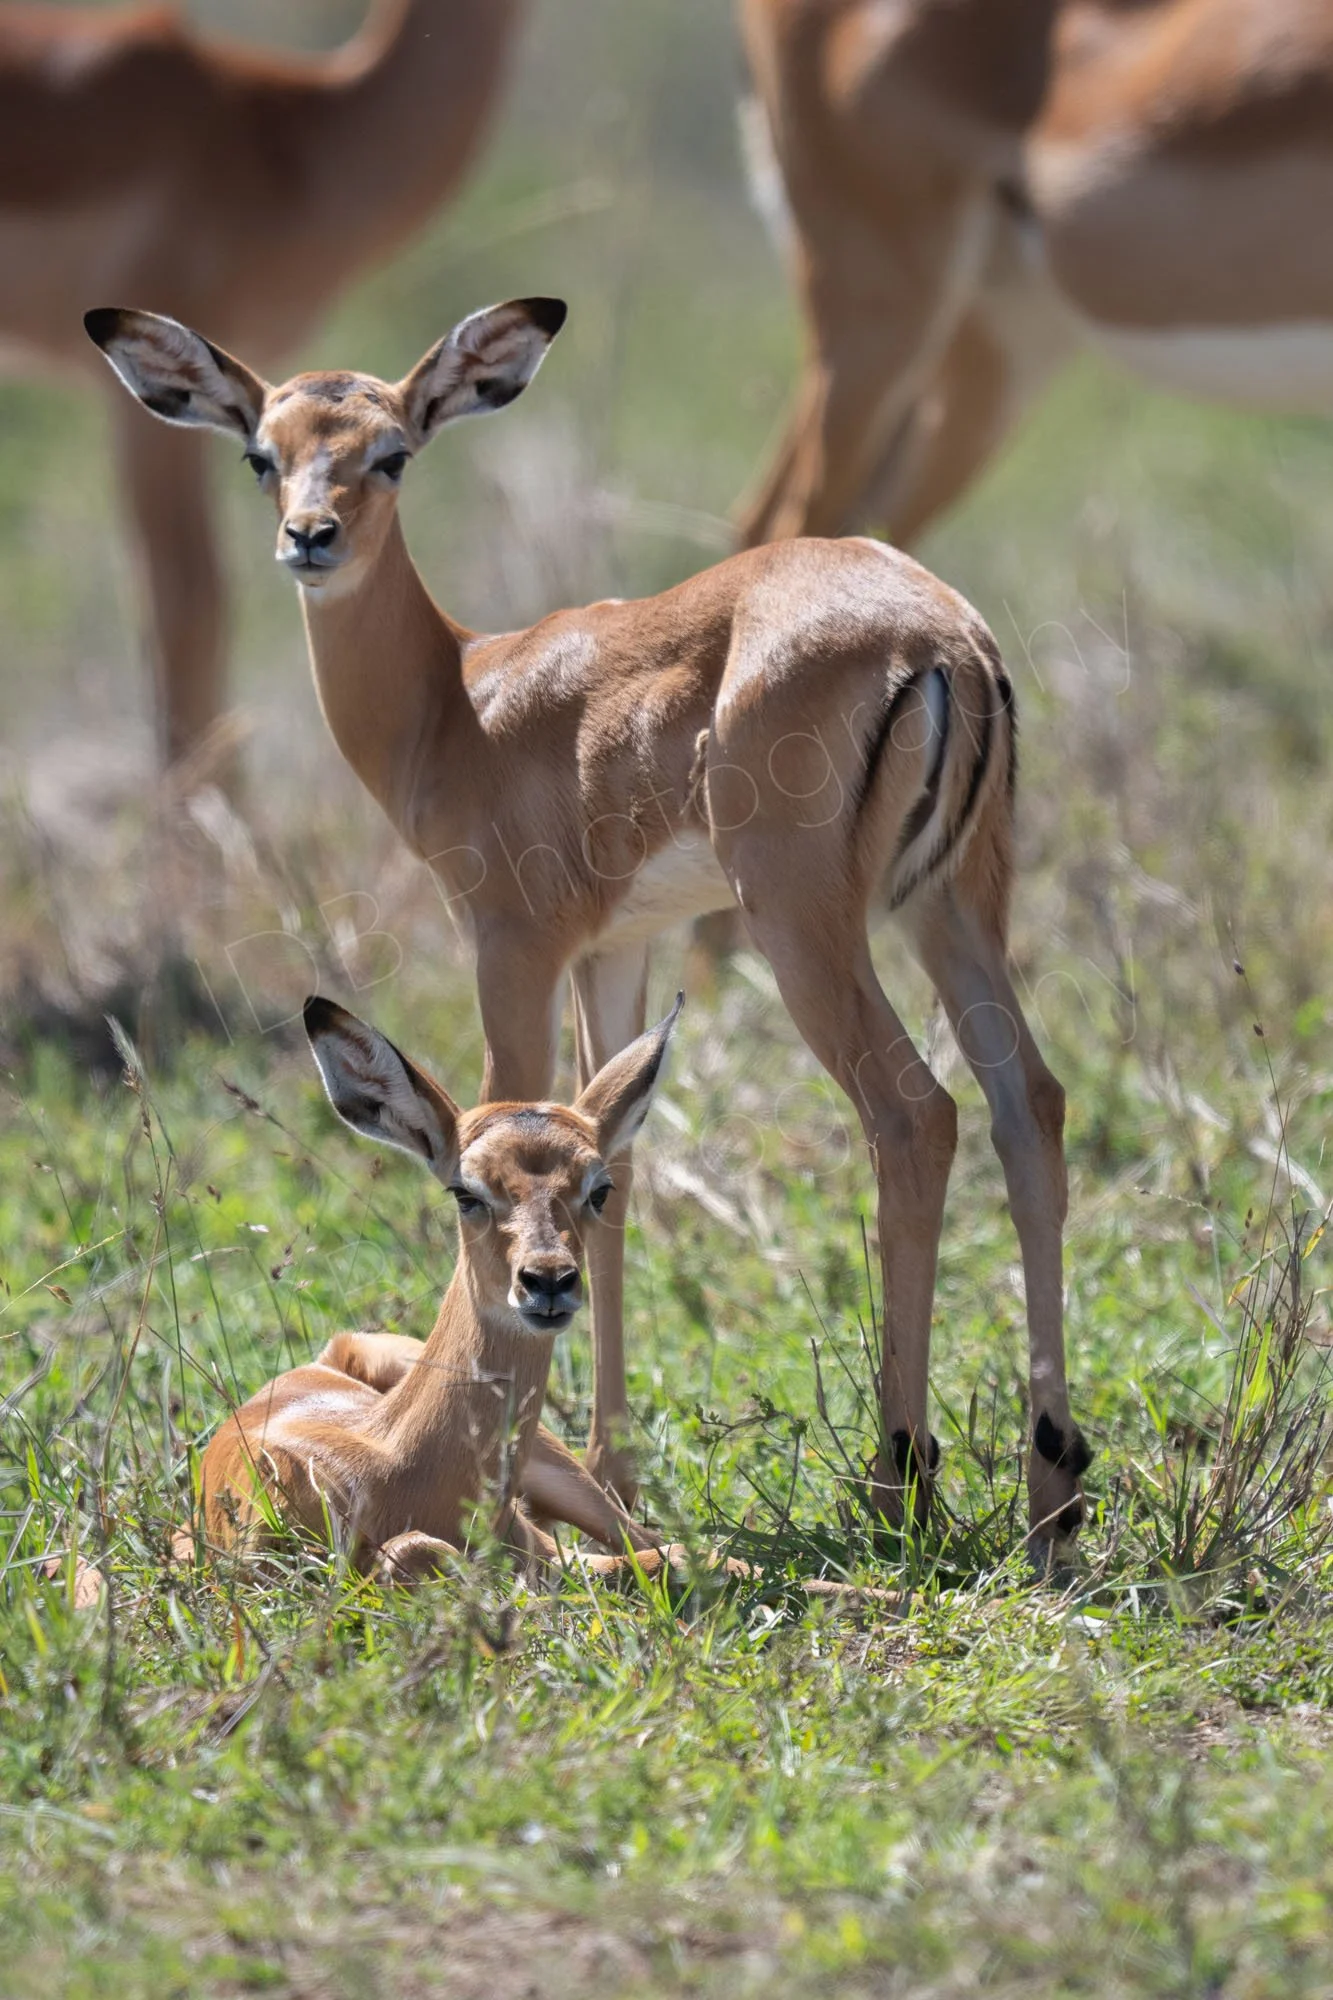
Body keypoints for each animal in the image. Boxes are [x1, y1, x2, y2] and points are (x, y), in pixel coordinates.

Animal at [87, 292, 1088, 1558]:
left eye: (391, 451)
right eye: (263, 453)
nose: (311, 538)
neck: (460, 698)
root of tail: (944, 637)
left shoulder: (512, 941)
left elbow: (504, 1112)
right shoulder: (618, 946)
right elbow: (616, 1154)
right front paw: (613, 1463)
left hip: (805, 925)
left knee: (914, 1114)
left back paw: (895, 1480)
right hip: (949, 905)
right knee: (1028, 1103)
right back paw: (1053, 1485)